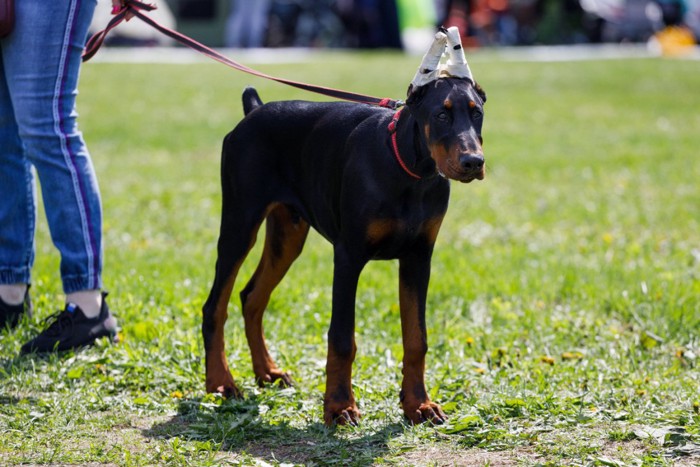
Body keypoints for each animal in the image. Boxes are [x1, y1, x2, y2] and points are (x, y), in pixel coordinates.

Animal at [201, 77, 486, 428]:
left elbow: (416, 338)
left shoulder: (418, 258)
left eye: (477, 113)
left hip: (288, 234)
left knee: (252, 296)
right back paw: (220, 382)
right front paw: (339, 407)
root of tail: (255, 109)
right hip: (240, 224)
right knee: (215, 306)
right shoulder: (348, 256)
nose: (474, 162)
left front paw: (418, 403)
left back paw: (267, 371)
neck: (409, 170)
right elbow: (341, 339)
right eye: (442, 115)